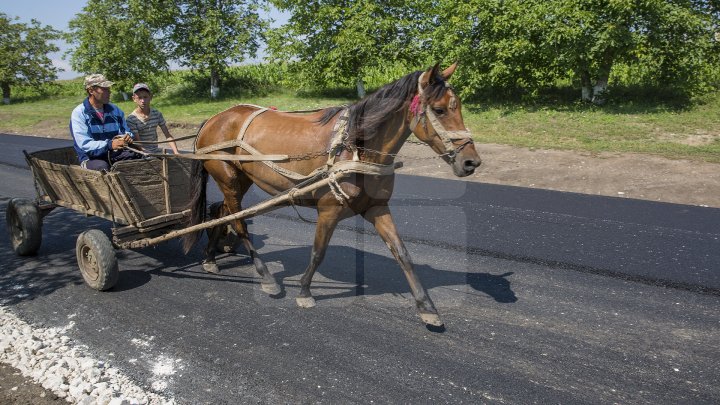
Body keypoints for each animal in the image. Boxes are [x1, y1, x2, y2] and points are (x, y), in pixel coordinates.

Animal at [183, 63, 480, 328]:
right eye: (439, 110)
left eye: (459, 107)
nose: (471, 162)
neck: (355, 149)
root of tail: (214, 119)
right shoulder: (329, 210)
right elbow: (318, 251)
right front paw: (304, 291)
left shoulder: (377, 207)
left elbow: (402, 253)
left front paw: (427, 307)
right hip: (228, 179)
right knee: (239, 223)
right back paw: (265, 276)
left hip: (239, 180)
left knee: (221, 213)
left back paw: (209, 258)